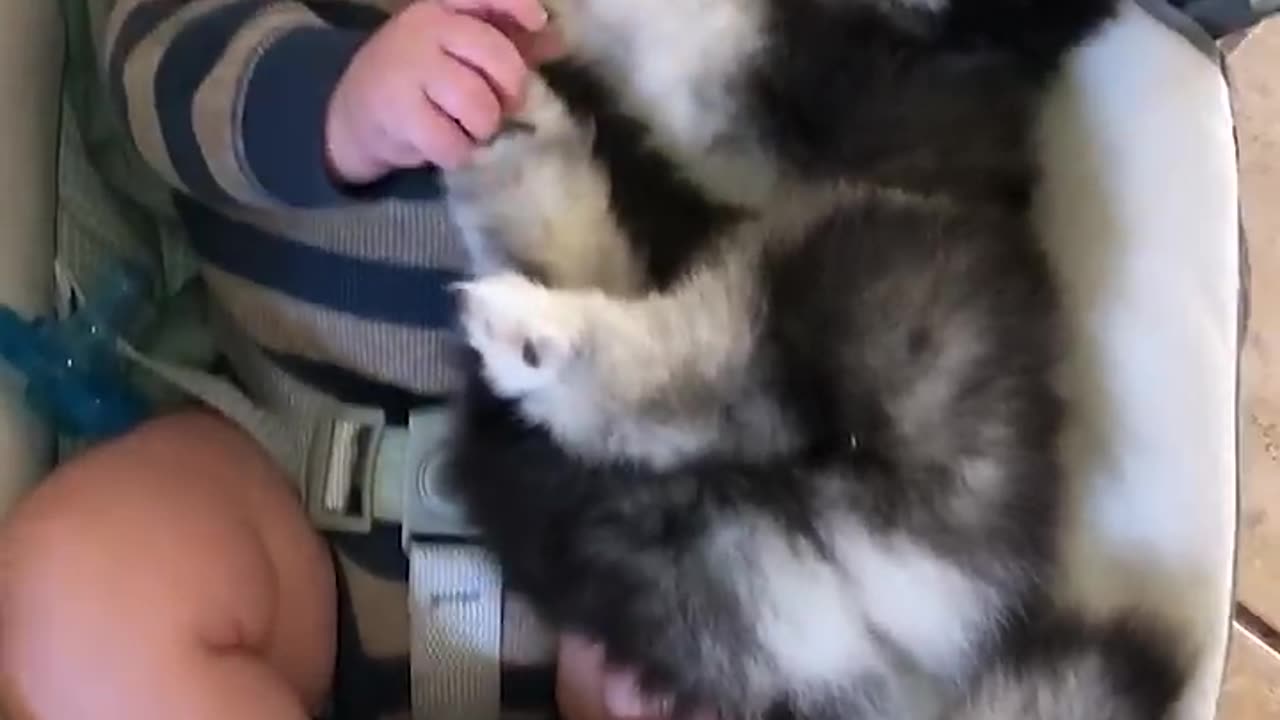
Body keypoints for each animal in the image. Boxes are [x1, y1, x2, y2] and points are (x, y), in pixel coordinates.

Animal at [440, 0, 1187, 712]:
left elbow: (665, 22)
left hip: (856, 268)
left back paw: (530, 329)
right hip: (663, 558)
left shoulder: (745, 83)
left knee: (720, 376)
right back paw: (518, 138)